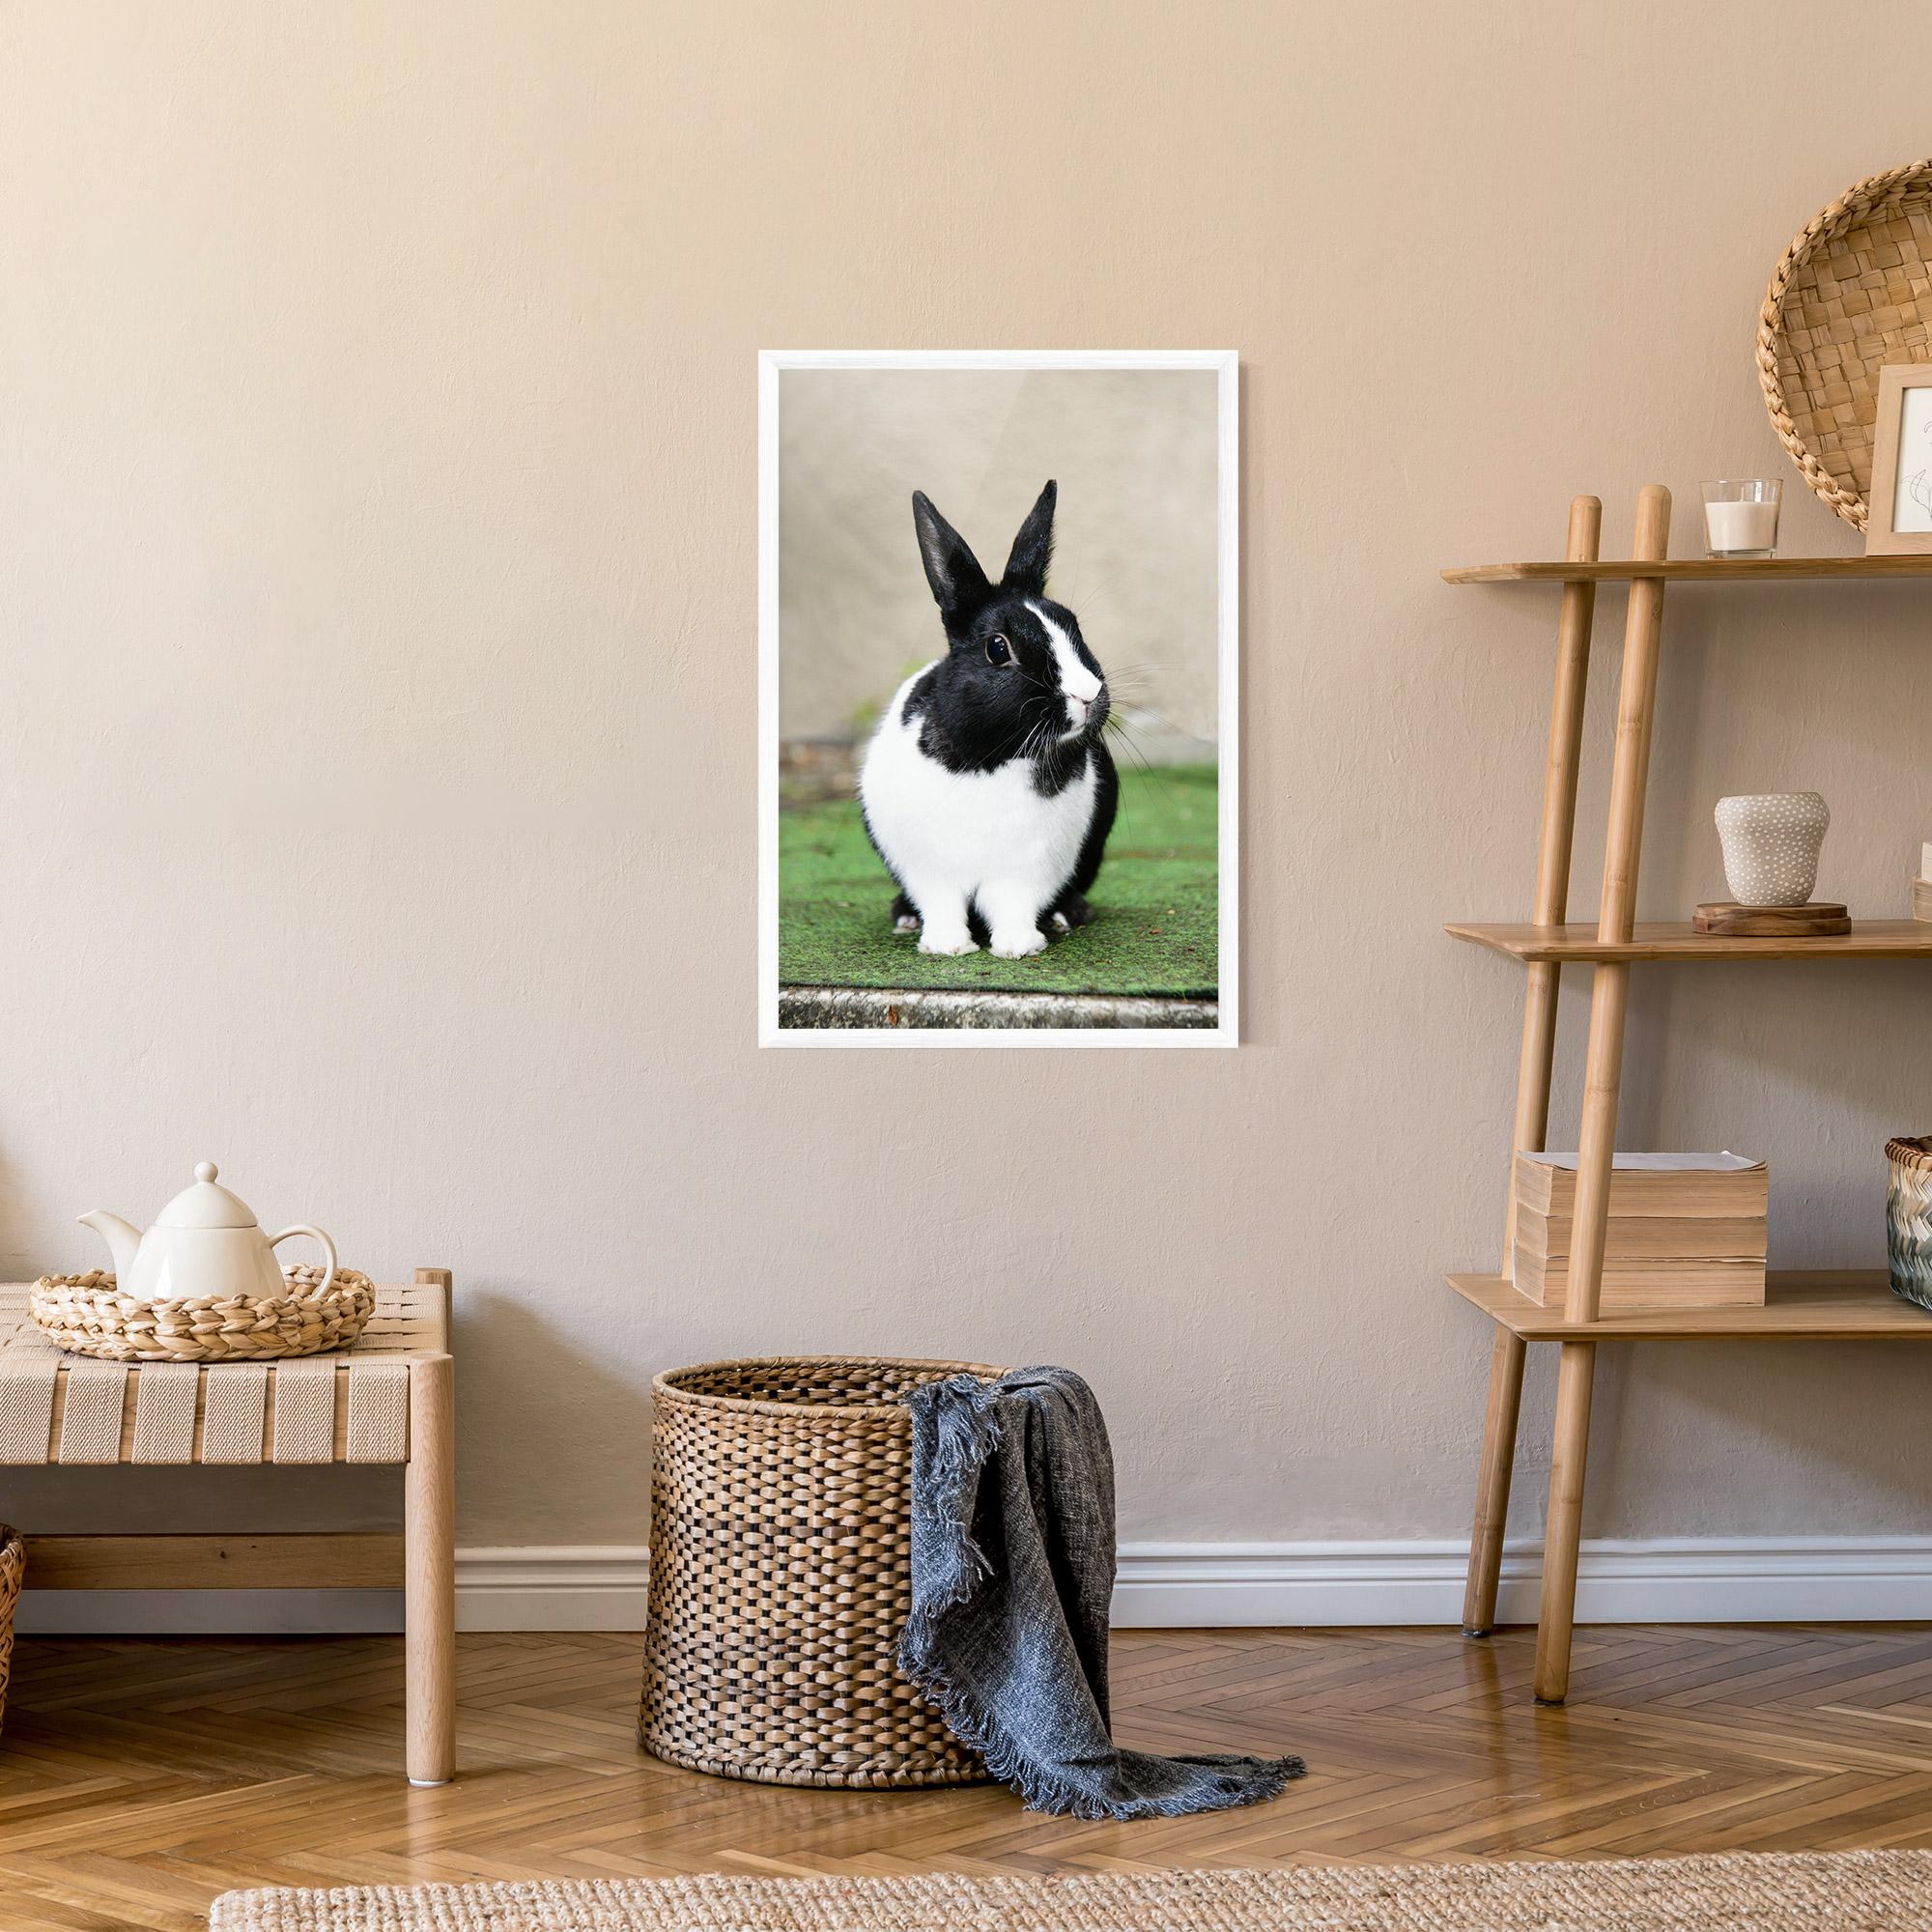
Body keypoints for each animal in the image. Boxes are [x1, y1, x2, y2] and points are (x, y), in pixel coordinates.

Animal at [858, 479, 1118, 959]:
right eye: (998, 648)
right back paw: (904, 918)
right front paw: (947, 946)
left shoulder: (1027, 868)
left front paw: (1018, 947)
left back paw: (1067, 915)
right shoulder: (929, 868)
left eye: (1074, 626)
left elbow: (1013, 905)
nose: (1088, 695)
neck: (992, 757)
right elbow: (942, 905)